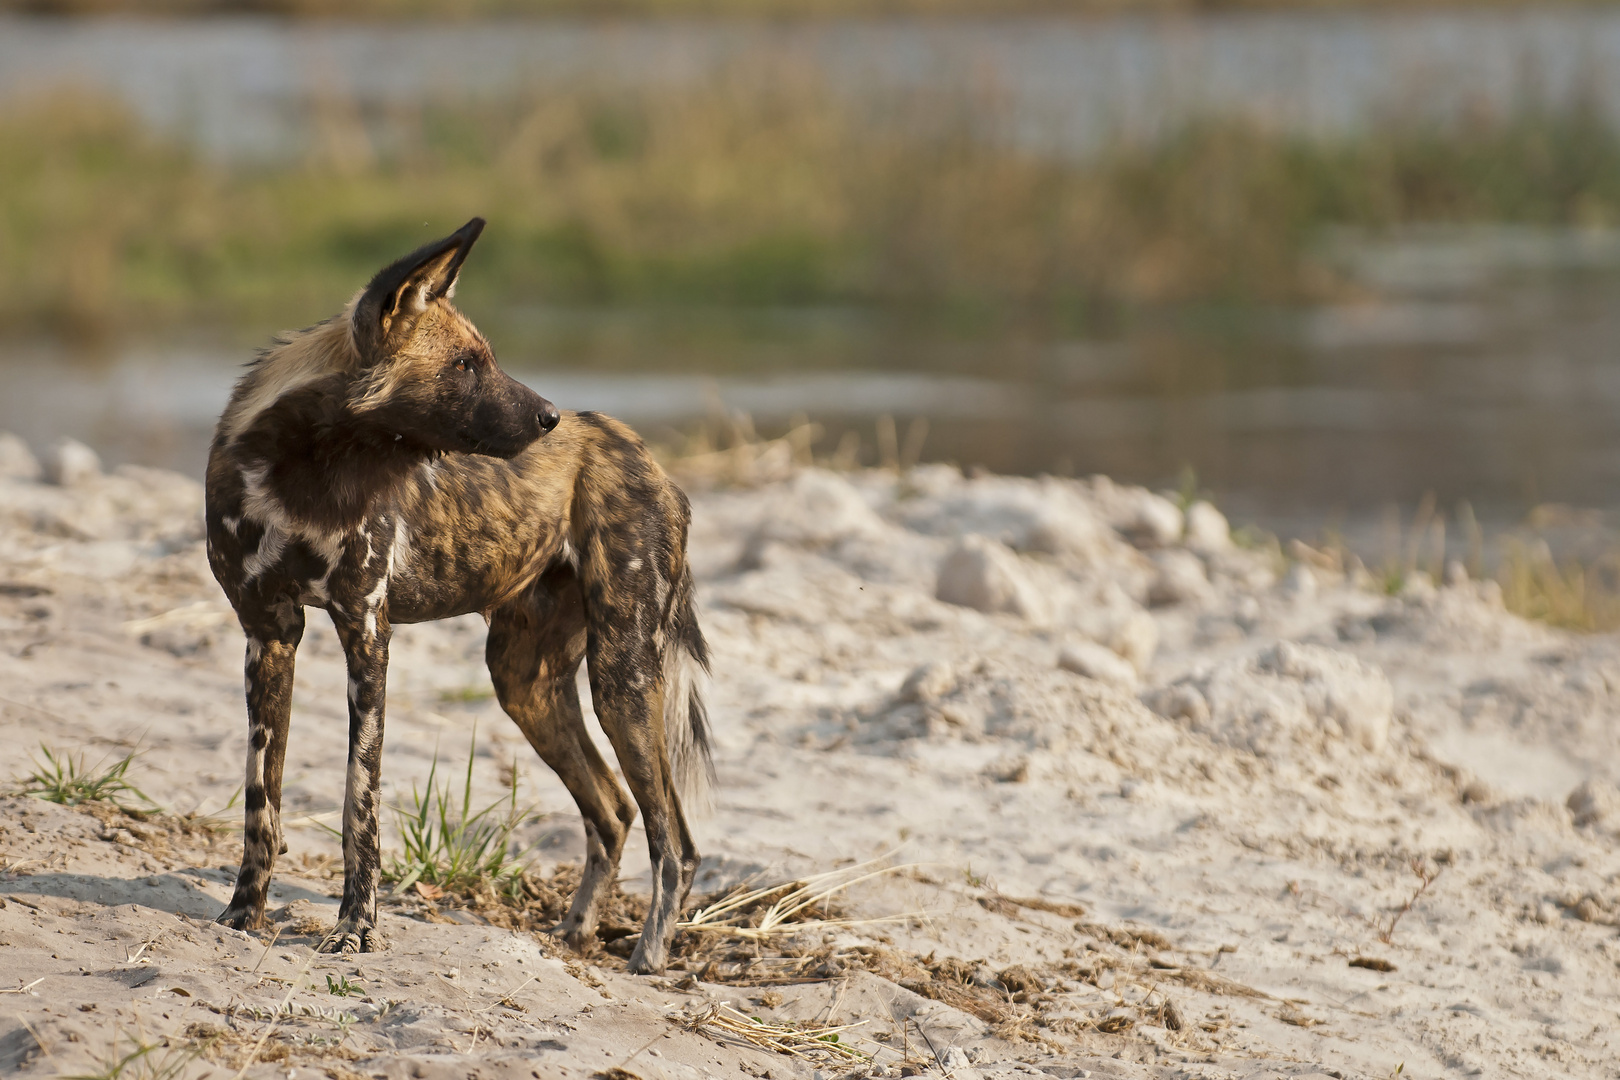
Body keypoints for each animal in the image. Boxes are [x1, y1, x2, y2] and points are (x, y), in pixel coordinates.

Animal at [202, 216, 709, 971]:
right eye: (465, 364)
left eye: (486, 358)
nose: (550, 418)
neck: (305, 472)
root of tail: (643, 453)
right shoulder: (269, 634)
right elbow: (262, 800)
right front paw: (242, 914)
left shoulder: (366, 634)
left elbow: (359, 806)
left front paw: (355, 929)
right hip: (525, 684)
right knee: (615, 812)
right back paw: (575, 932)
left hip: (623, 679)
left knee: (673, 838)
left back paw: (648, 955)